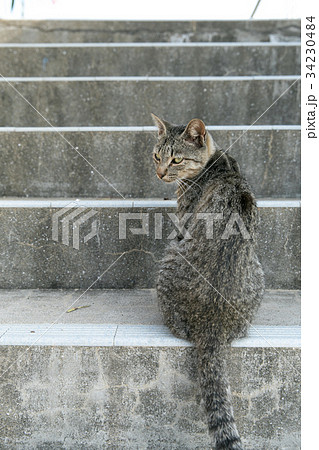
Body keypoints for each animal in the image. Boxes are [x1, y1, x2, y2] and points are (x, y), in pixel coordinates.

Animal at [152, 115, 264, 450]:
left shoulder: (182, 220)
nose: (160, 173)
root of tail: (212, 320)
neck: (219, 162)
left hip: (169, 256)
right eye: (157, 156)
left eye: (176, 159)